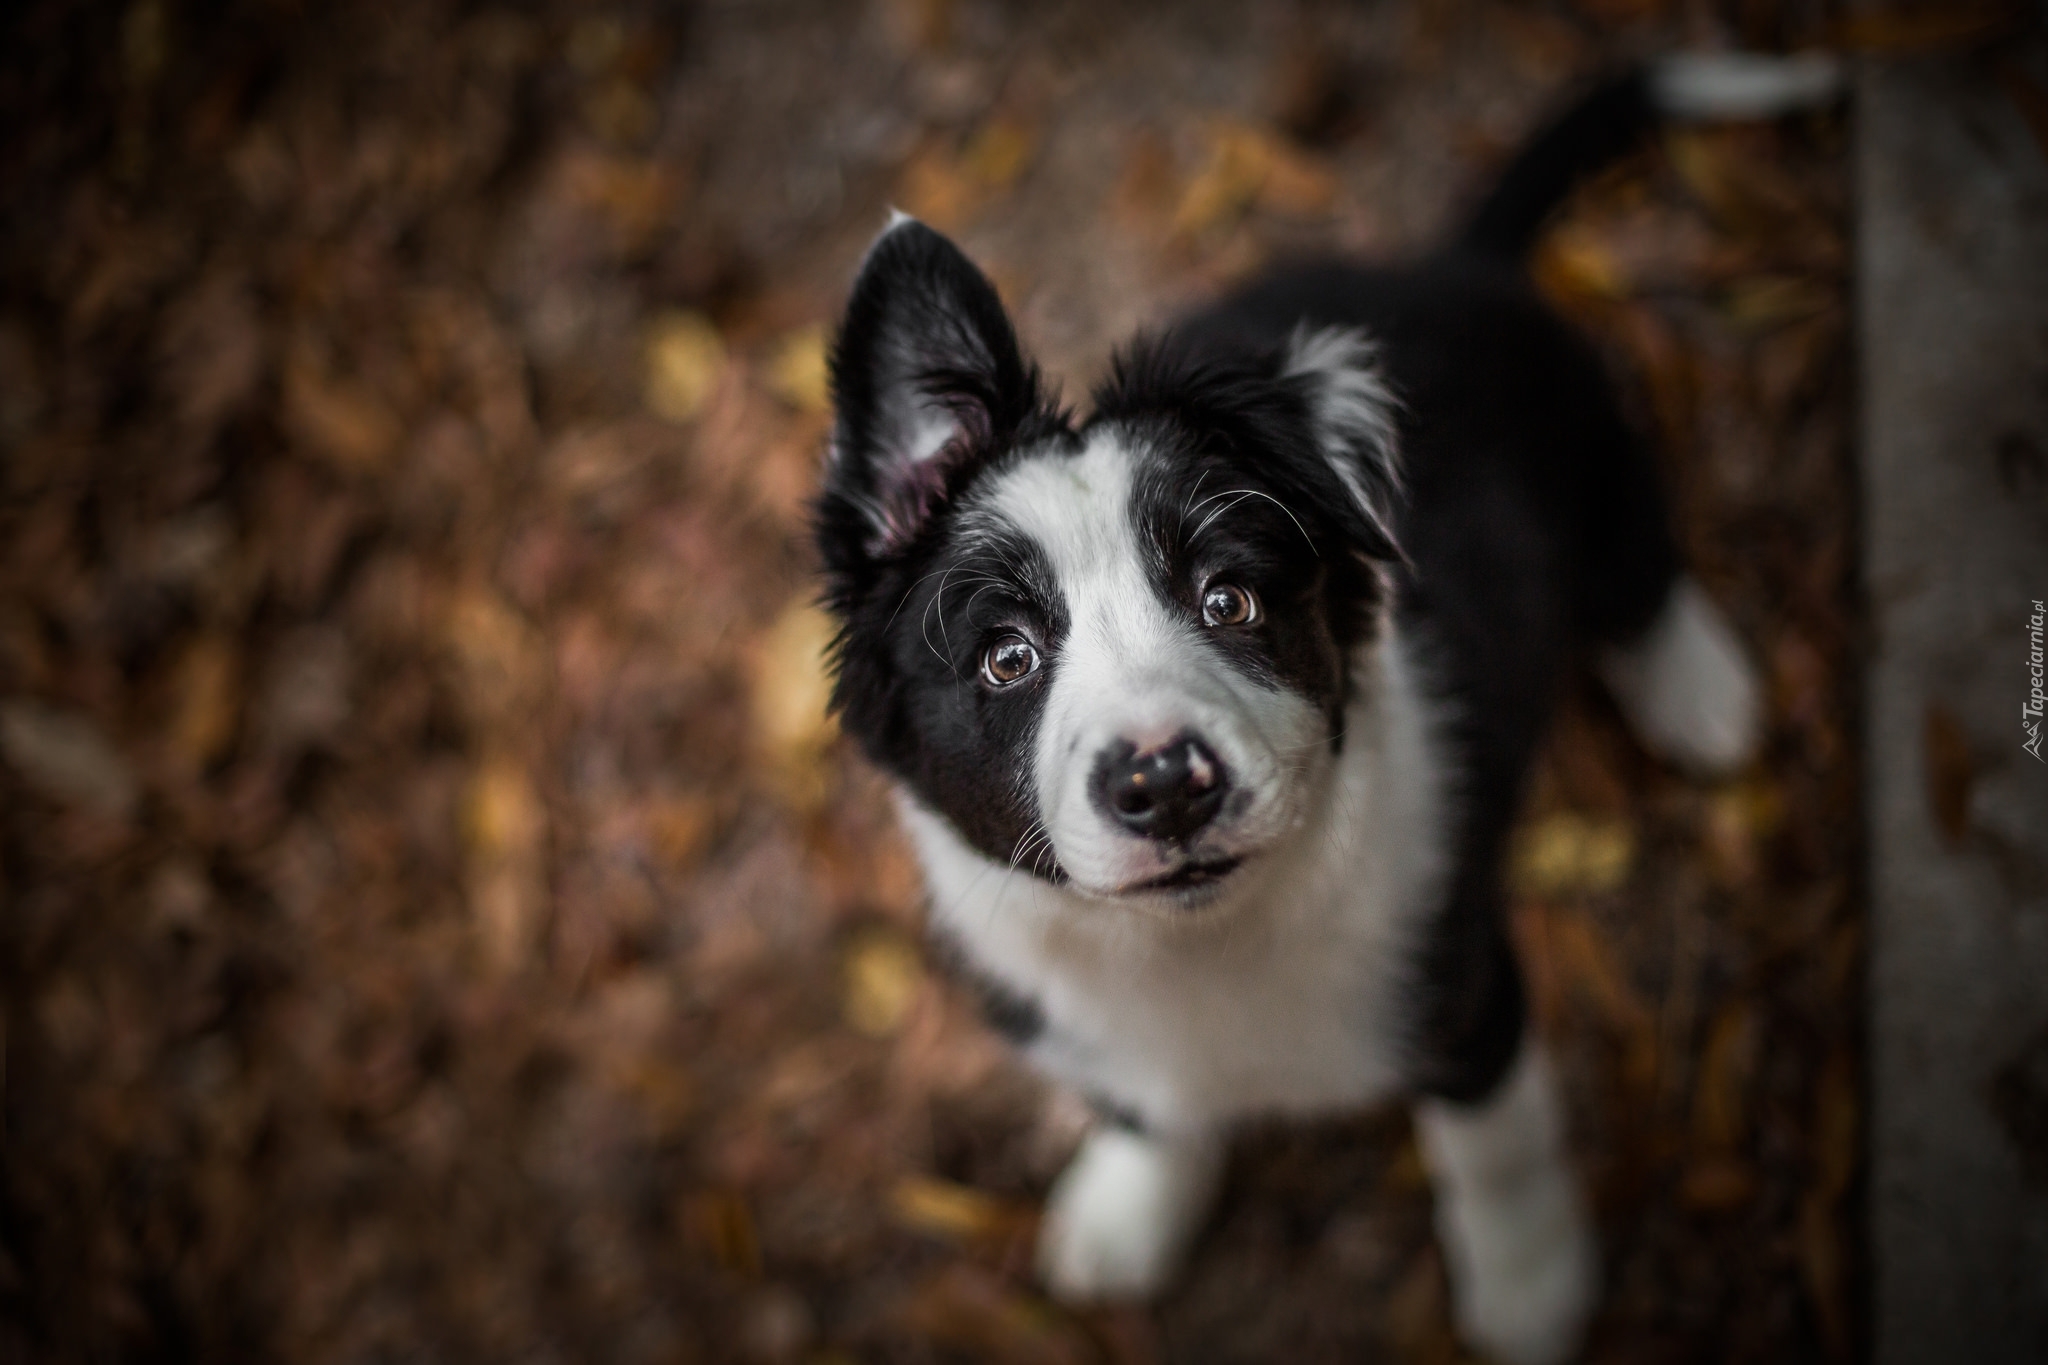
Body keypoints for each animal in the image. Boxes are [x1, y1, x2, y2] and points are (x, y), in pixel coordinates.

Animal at [811, 53, 1843, 1365]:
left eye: (1229, 597)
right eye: (1004, 659)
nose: (1163, 784)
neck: (1201, 949)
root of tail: (1449, 263)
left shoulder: (1464, 986)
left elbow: (1494, 1152)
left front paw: (1532, 1293)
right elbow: (1142, 1110)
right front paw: (1127, 1213)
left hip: (1597, 453)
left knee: (1638, 567)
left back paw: (1699, 692)